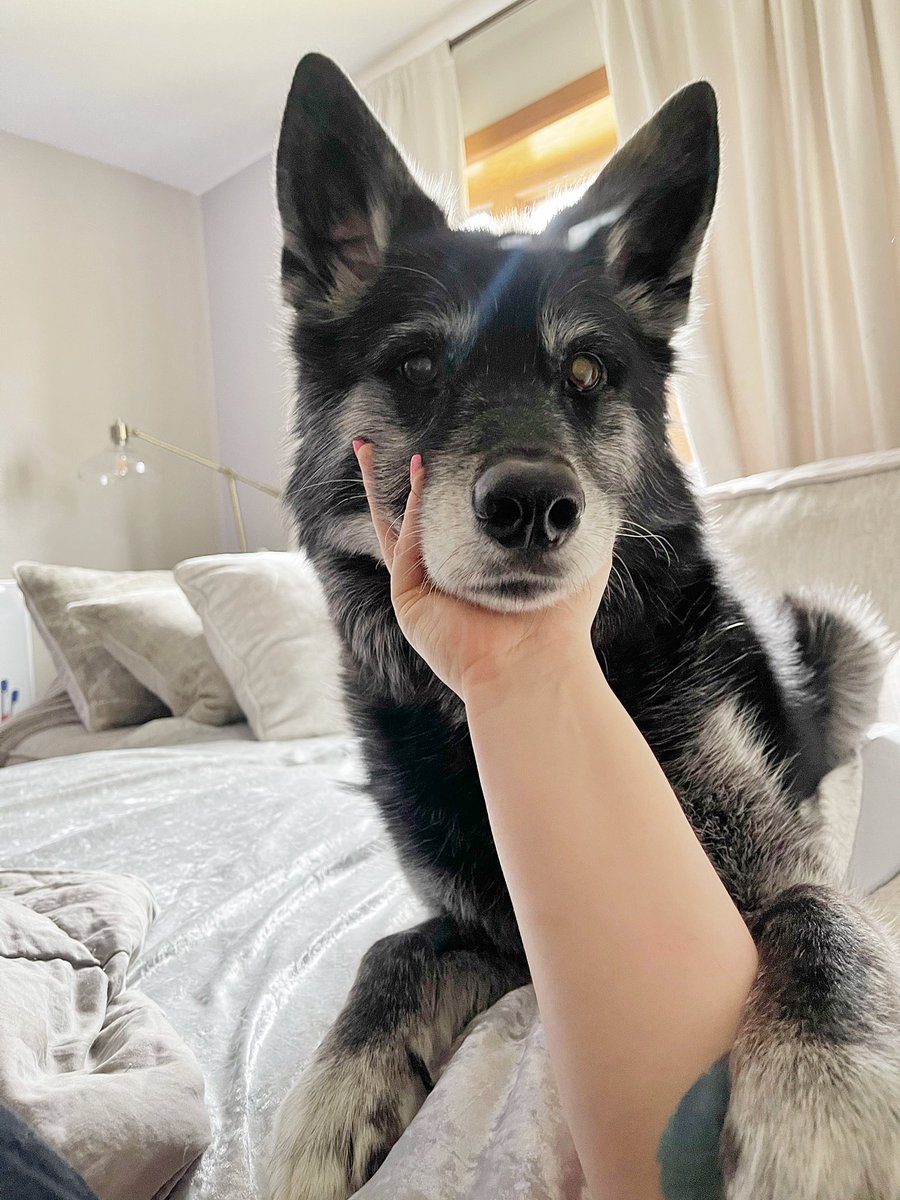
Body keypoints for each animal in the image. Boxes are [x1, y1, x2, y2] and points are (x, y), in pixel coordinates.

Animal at [267, 53, 900, 1200]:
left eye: (589, 374)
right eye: (419, 368)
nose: (532, 506)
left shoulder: (774, 876)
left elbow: (820, 922)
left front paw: (822, 1119)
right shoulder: (494, 933)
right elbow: (391, 953)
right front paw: (330, 1099)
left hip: (839, 634)